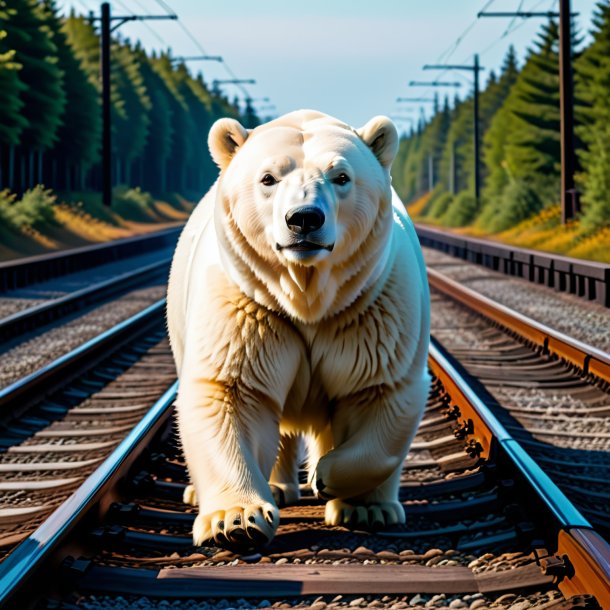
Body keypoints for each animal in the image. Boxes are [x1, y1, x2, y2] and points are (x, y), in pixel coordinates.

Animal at [165, 108, 428, 548]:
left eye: (341, 177)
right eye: (268, 178)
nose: (304, 218)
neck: (307, 296)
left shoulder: (370, 307)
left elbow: (377, 391)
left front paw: (344, 491)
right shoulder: (250, 305)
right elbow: (232, 391)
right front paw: (235, 521)